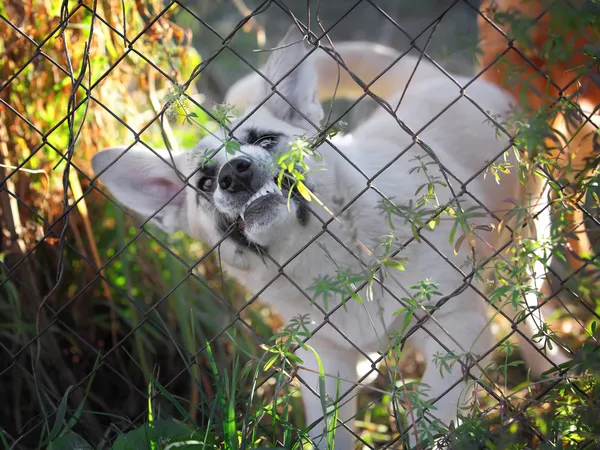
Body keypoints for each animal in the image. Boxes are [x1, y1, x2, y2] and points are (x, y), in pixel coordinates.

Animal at [91, 26, 564, 448]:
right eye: (205, 183)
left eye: (266, 140)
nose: (234, 173)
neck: (325, 257)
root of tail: (437, 77)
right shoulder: (327, 366)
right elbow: (330, 432)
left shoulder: (456, 329)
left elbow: (436, 418)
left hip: (522, 256)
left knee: (527, 318)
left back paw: (553, 368)